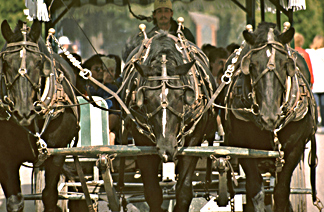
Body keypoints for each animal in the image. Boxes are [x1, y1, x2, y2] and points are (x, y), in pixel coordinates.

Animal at [0, 19, 79, 212]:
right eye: (5, 62)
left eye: (38, 62)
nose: (23, 112)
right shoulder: (5, 157)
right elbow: (15, 202)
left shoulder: (57, 153)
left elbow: (49, 196)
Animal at [121, 31, 218, 212]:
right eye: (146, 98)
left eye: (181, 96)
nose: (167, 148)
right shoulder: (142, 139)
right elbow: (152, 193)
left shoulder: (194, 138)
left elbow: (184, 190)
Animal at [219, 22, 318, 211]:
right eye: (251, 65)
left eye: (285, 65)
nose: (269, 116)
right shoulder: (244, 148)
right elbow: (255, 190)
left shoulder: (294, 149)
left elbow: (281, 192)